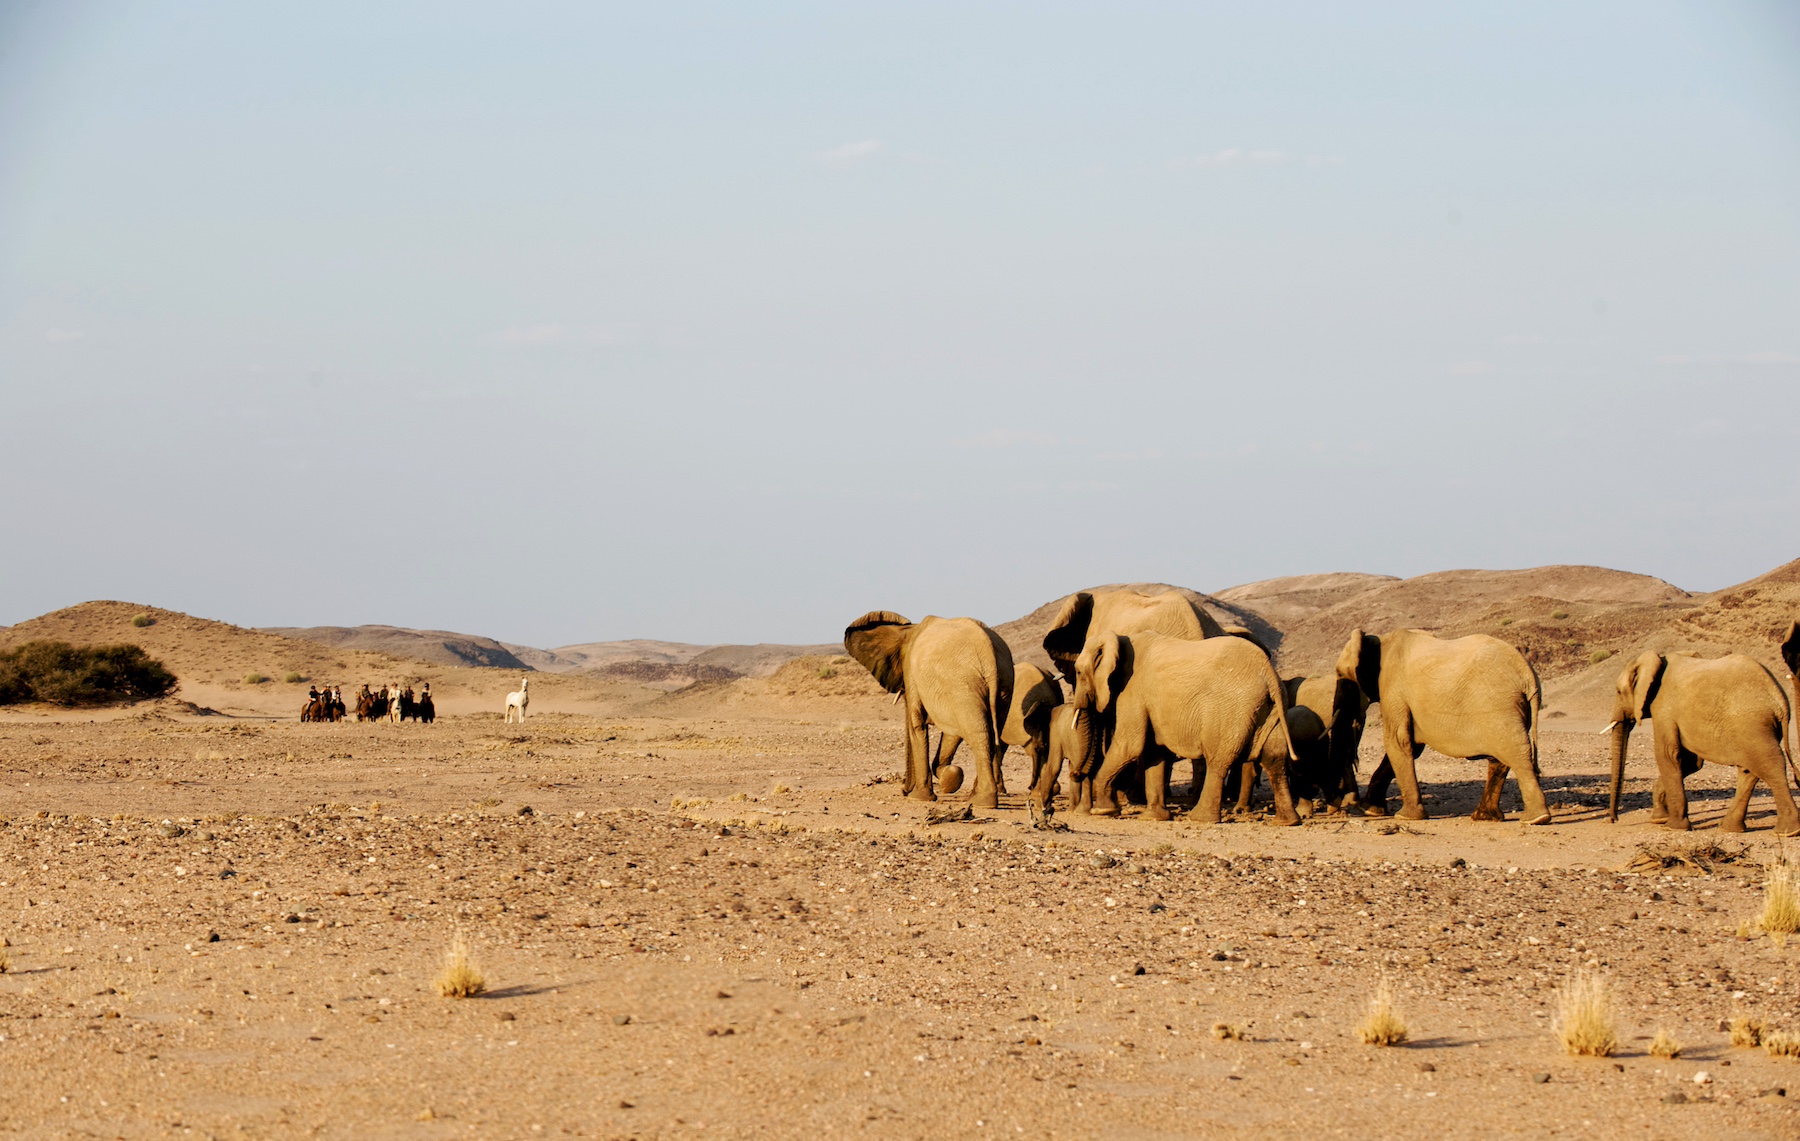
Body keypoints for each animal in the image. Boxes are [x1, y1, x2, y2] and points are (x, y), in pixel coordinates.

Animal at [842, 608, 1015, 802]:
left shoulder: (912, 672)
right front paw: (949, 777)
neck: (907, 631)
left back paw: (982, 801)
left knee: (978, 733)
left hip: (962, 682)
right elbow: (950, 733)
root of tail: (989, 655)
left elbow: (917, 724)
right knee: (991, 732)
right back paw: (977, 796)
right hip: (1003, 683)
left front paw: (919, 797)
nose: (903, 791)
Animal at [1065, 626, 1296, 820]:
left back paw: (1200, 818)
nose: (1074, 773)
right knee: (1274, 758)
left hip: (1231, 708)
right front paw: (1154, 818)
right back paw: (1287, 821)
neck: (1120, 637)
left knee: (1218, 760)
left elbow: (1130, 746)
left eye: (1078, 672)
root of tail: (1268, 672)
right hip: (1270, 707)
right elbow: (1153, 751)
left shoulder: (1132, 690)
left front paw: (1103, 811)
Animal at [1339, 626, 1548, 820]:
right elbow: (1410, 744)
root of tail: (1527, 674)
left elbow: (1398, 741)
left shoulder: (1392, 687)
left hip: (1500, 706)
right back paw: (1485, 817)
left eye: (1340, 675)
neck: (1380, 640)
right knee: (1501, 759)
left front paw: (1403, 816)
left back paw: (1535, 818)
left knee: (1515, 753)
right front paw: (1370, 810)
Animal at [1605, 651, 1800, 831]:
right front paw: (1659, 819)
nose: (1612, 820)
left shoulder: (1664, 708)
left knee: (1770, 766)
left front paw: (1672, 827)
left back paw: (1787, 831)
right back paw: (1729, 828)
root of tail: (1781, 703)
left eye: (1618, 692)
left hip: (1753, 724)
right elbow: (1691, 762)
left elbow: (1667, 755)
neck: (1657, 659)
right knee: (1749, 771)